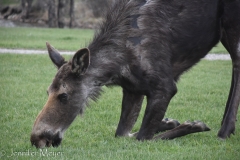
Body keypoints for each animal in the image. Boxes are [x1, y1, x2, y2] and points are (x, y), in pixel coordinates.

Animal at [31, 0, 239, 149]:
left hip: (231, 23)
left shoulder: (165, 86)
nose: (36, 138)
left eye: (64, 95)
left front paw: (194, 125)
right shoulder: (133, 89)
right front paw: (169, 121)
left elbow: (143, 137)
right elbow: (123, 133)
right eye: (47, 92)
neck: (117, 67)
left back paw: (224, 132)